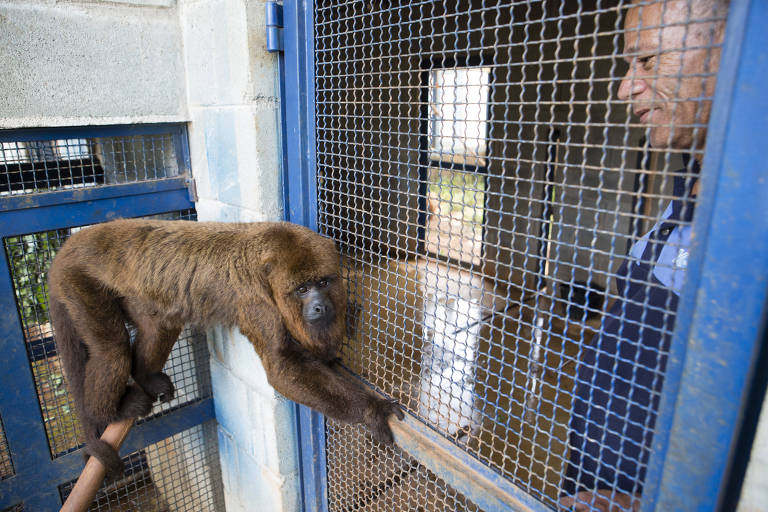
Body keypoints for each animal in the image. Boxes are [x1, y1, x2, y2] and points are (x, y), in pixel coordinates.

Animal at [48, 218, 404, 478]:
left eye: (323, 282)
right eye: (302, 290)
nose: (319, 307)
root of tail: (68, 248)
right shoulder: (256, 301)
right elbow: (282, 367)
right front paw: (372, 410)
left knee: (159, 323)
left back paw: (145, 376)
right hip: (78, 281)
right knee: (111, 350)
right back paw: (109, 413)